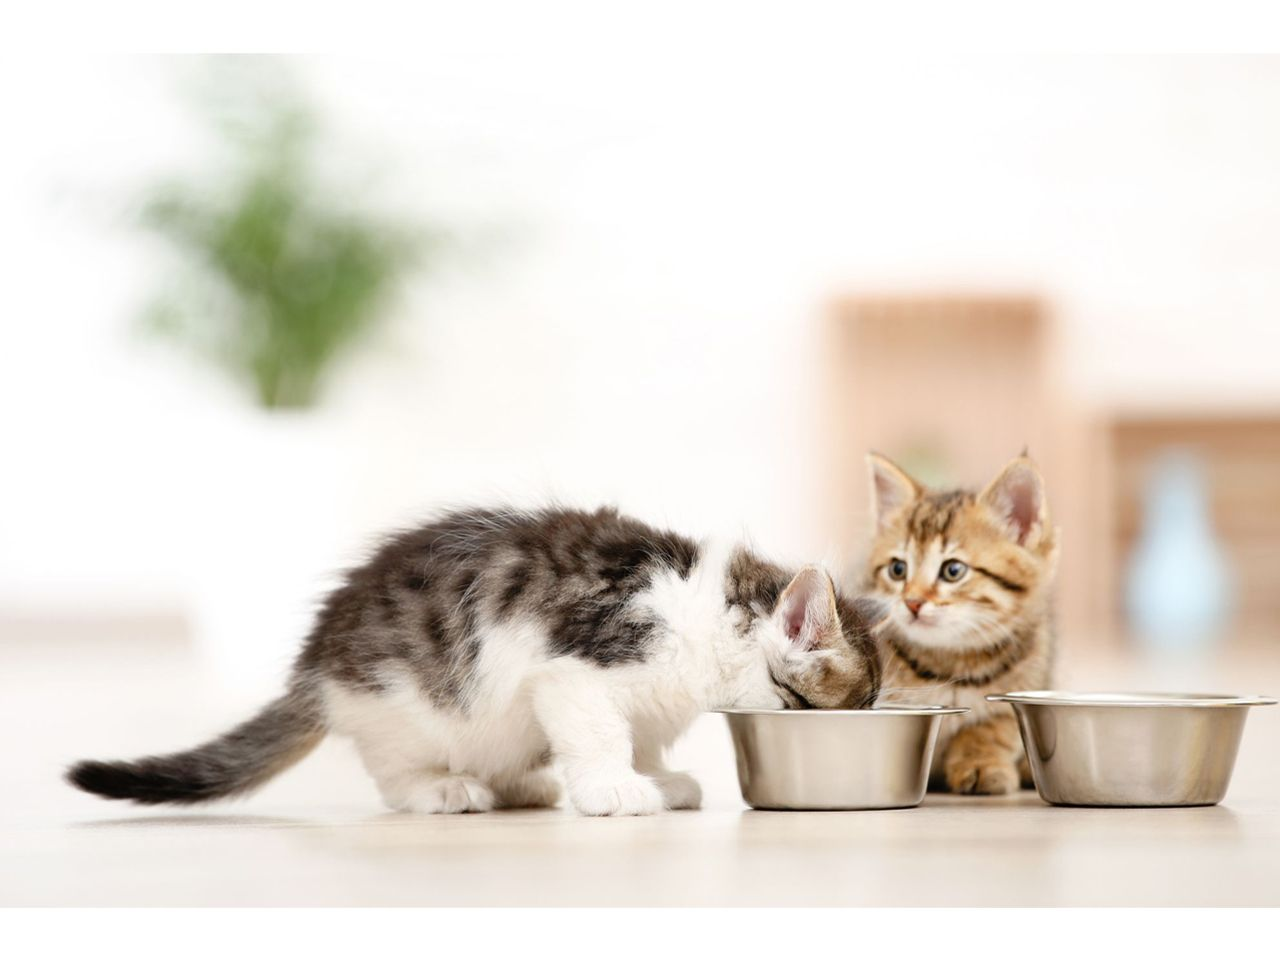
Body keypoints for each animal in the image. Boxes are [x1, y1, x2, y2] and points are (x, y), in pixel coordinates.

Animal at [67, 506, 880, 814]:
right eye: (852, 706)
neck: (712, 614)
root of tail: (316, 665)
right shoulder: (575, 670)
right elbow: (601, 733)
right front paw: (616, 788)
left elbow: (643, 734)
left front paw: (657, 776)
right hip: (404, 708)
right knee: (395, 775)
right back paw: (445, 790)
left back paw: (525, 784)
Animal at [860, 455, 1059, 798]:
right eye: (898, 569)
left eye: (953, 570)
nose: (912, 602)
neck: (949, 661)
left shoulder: (1027, 675)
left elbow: (990, 729)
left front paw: (981, 765)